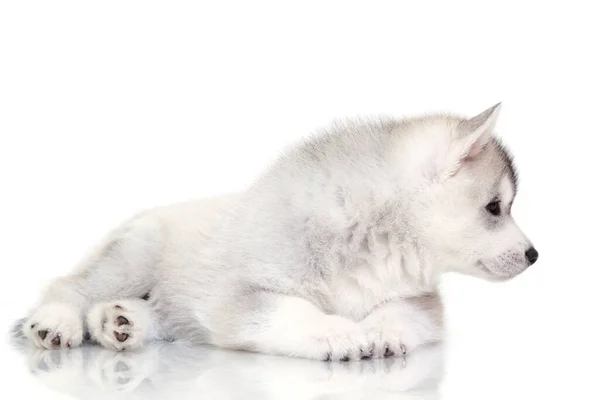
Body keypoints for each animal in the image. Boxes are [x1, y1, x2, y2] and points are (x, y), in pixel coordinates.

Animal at [18, 103, 536, 360]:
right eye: (495, 207)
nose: (534, 255)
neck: (373, 239)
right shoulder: (241, 294)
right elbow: (292, 311)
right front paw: (338, 333)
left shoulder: (421, 301)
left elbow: (399, 313)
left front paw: (379, 330)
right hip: (134, 255)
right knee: (69, 286)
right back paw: (59, 322)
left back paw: (121, 322)